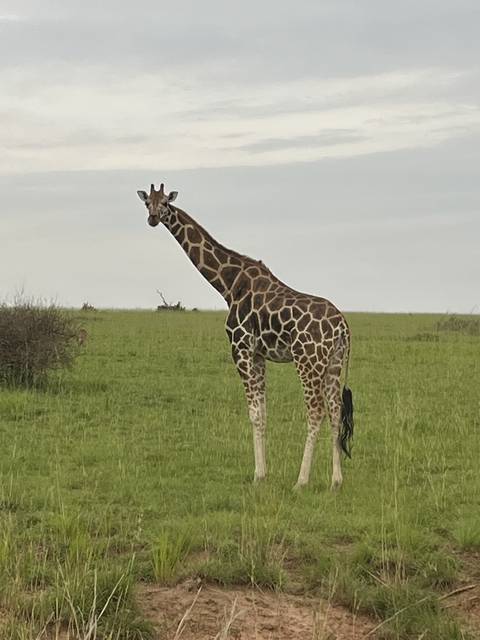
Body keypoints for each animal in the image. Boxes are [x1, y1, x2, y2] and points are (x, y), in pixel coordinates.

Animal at [137, 183, 354, 490]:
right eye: (148, 203)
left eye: (165, 202)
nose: (153, 218)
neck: (229, 284)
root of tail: (343, 326)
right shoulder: (259, 353)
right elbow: (262, 412)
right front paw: (263, 473)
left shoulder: (239, 347)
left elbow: (253, 413)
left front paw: (258, 476)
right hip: (334, 363)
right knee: (335, 412)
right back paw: (336, 481)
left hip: (308, 361)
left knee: (316, 412)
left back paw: (301, 481)